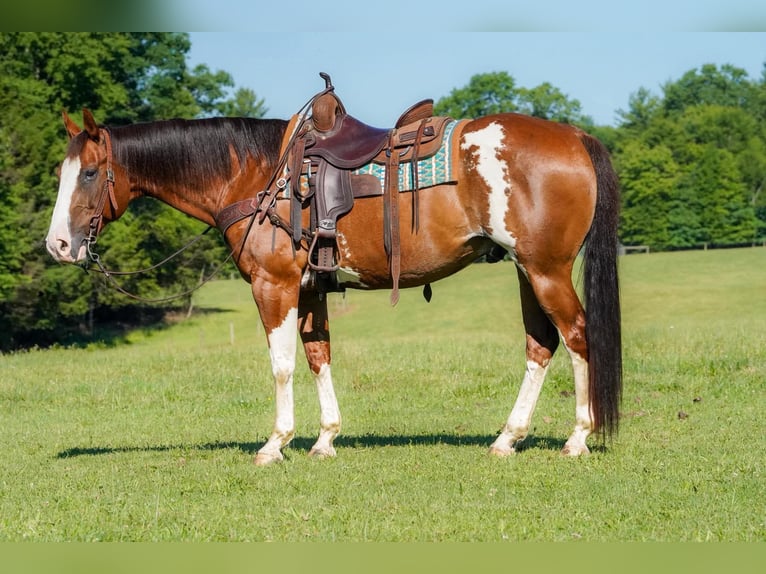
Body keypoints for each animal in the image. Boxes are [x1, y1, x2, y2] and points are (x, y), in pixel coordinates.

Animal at [45, 87, 622, 466]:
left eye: (90, 173)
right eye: (60, 173)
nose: (58, 245)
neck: (258, 176)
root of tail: (574, 135)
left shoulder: (274, 286)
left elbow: (281, 366)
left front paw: (276, 443)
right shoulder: (309, 288)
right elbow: (318, 356)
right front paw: (325, 439)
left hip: (546, 271)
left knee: (576, 336)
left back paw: (577, 438)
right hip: (527, 270)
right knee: (541, 344)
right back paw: (508, 438)